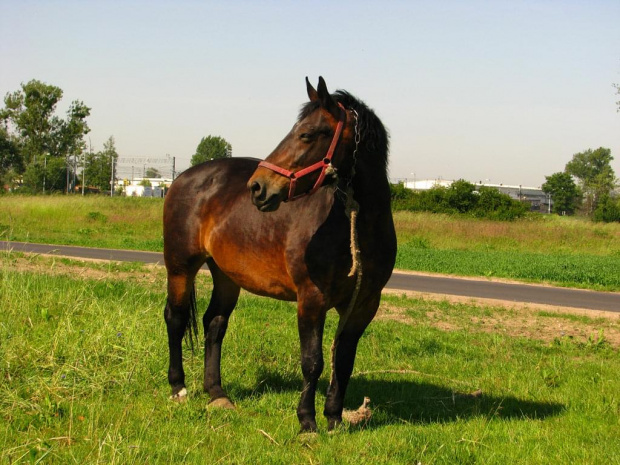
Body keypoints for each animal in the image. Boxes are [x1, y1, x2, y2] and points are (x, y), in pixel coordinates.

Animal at [163, 76, 398, 432]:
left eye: (307, 134)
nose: (258, 187)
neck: (355, 225)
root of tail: (182, 179)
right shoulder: (311, 299)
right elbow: (313, 361)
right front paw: (307, 422)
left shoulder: (363, 304)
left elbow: (343, 361)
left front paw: (334, 418)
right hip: (180, 267)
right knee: (175, 318)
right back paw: (178, 388)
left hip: (227, 275)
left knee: (214, 323)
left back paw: (217, 393)